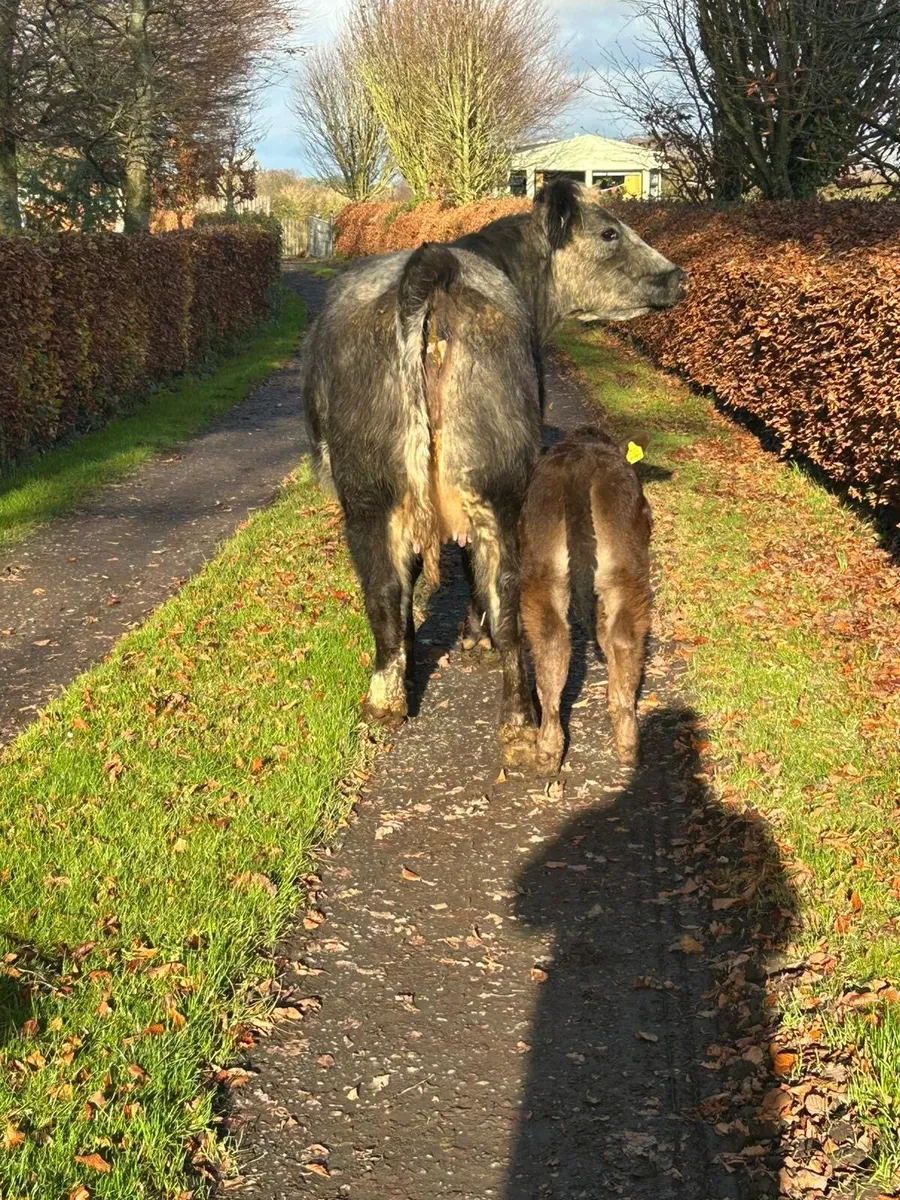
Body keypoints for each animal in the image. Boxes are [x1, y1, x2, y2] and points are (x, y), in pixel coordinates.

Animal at [301, 179, 684, 766]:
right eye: (609, 232)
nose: (677, 276)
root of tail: (431, 261)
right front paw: (472, 639)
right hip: (500, 491)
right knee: (507, 606)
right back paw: (519, 723)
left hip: (368, 495)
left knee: (384, 594)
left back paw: (386, 703)